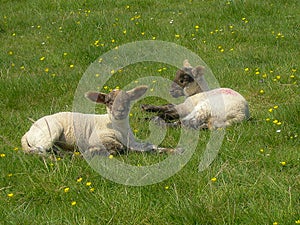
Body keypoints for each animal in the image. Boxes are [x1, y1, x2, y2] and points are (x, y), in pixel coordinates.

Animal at [21, 85, 166, 157]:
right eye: (108, 102)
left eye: (128, 100)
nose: (120, 111)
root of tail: (28, 133)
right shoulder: (98, 138)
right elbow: (118, 147)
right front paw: (94, 151)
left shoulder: (133, 142)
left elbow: (149, 145)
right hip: (51, 130)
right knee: (39, 150)